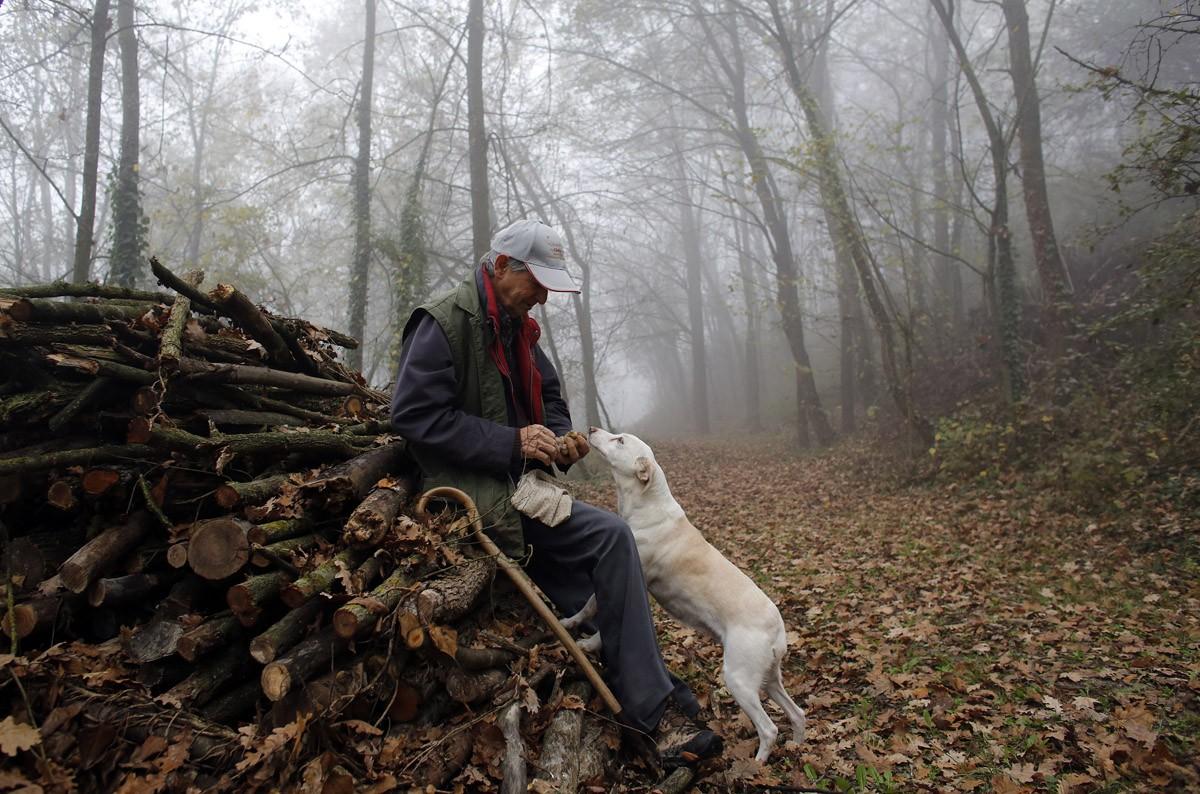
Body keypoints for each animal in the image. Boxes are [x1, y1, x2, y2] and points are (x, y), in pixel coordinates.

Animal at [561, 429, 806, 767]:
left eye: (620, 440)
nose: (592, 430)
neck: (646, 506)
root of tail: (779, 631)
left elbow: (594, 608)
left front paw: (578, 633)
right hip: (768, 679)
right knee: (798, 714)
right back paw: (796, 747)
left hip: (739, 680)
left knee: (769, 729)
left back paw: (756, 765)